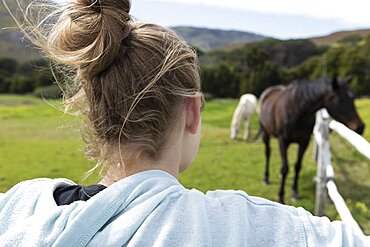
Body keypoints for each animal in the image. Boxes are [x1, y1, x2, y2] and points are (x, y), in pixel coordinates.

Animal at [258, 76, 366, 204]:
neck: (297, 110)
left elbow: (297, 166)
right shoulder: (283, 141)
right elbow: (285, 169)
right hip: (265, 133)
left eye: (352, 98)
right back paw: (265, 178)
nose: (360, 127)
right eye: (337, 98)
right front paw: (280, 197)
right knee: (267, 153)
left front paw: (295, 192)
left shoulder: (304, 142)